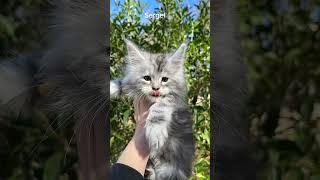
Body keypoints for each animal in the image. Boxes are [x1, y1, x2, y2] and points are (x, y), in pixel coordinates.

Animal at [110, 40, 195, 179]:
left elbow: (159, 108)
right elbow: (122, 83)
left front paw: (155, 131)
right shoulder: (131, 83)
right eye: (147, 78)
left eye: (164, 79)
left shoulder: (175, 100)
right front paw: (110, 87)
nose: (156, 88)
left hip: (170, 167)